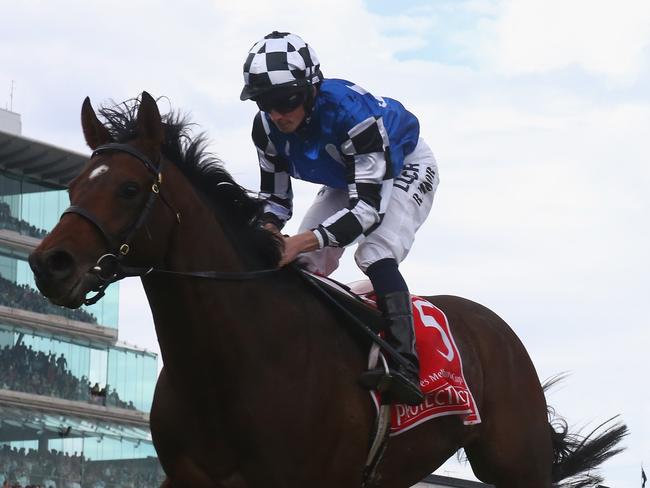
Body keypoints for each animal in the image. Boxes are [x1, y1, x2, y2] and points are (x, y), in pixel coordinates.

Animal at [27, 92, 624, 488]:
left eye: (129, 189)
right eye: (73, 185)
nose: (48, 264)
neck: (232, 364)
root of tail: (498, 329)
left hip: (519, 464)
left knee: (377, 252)